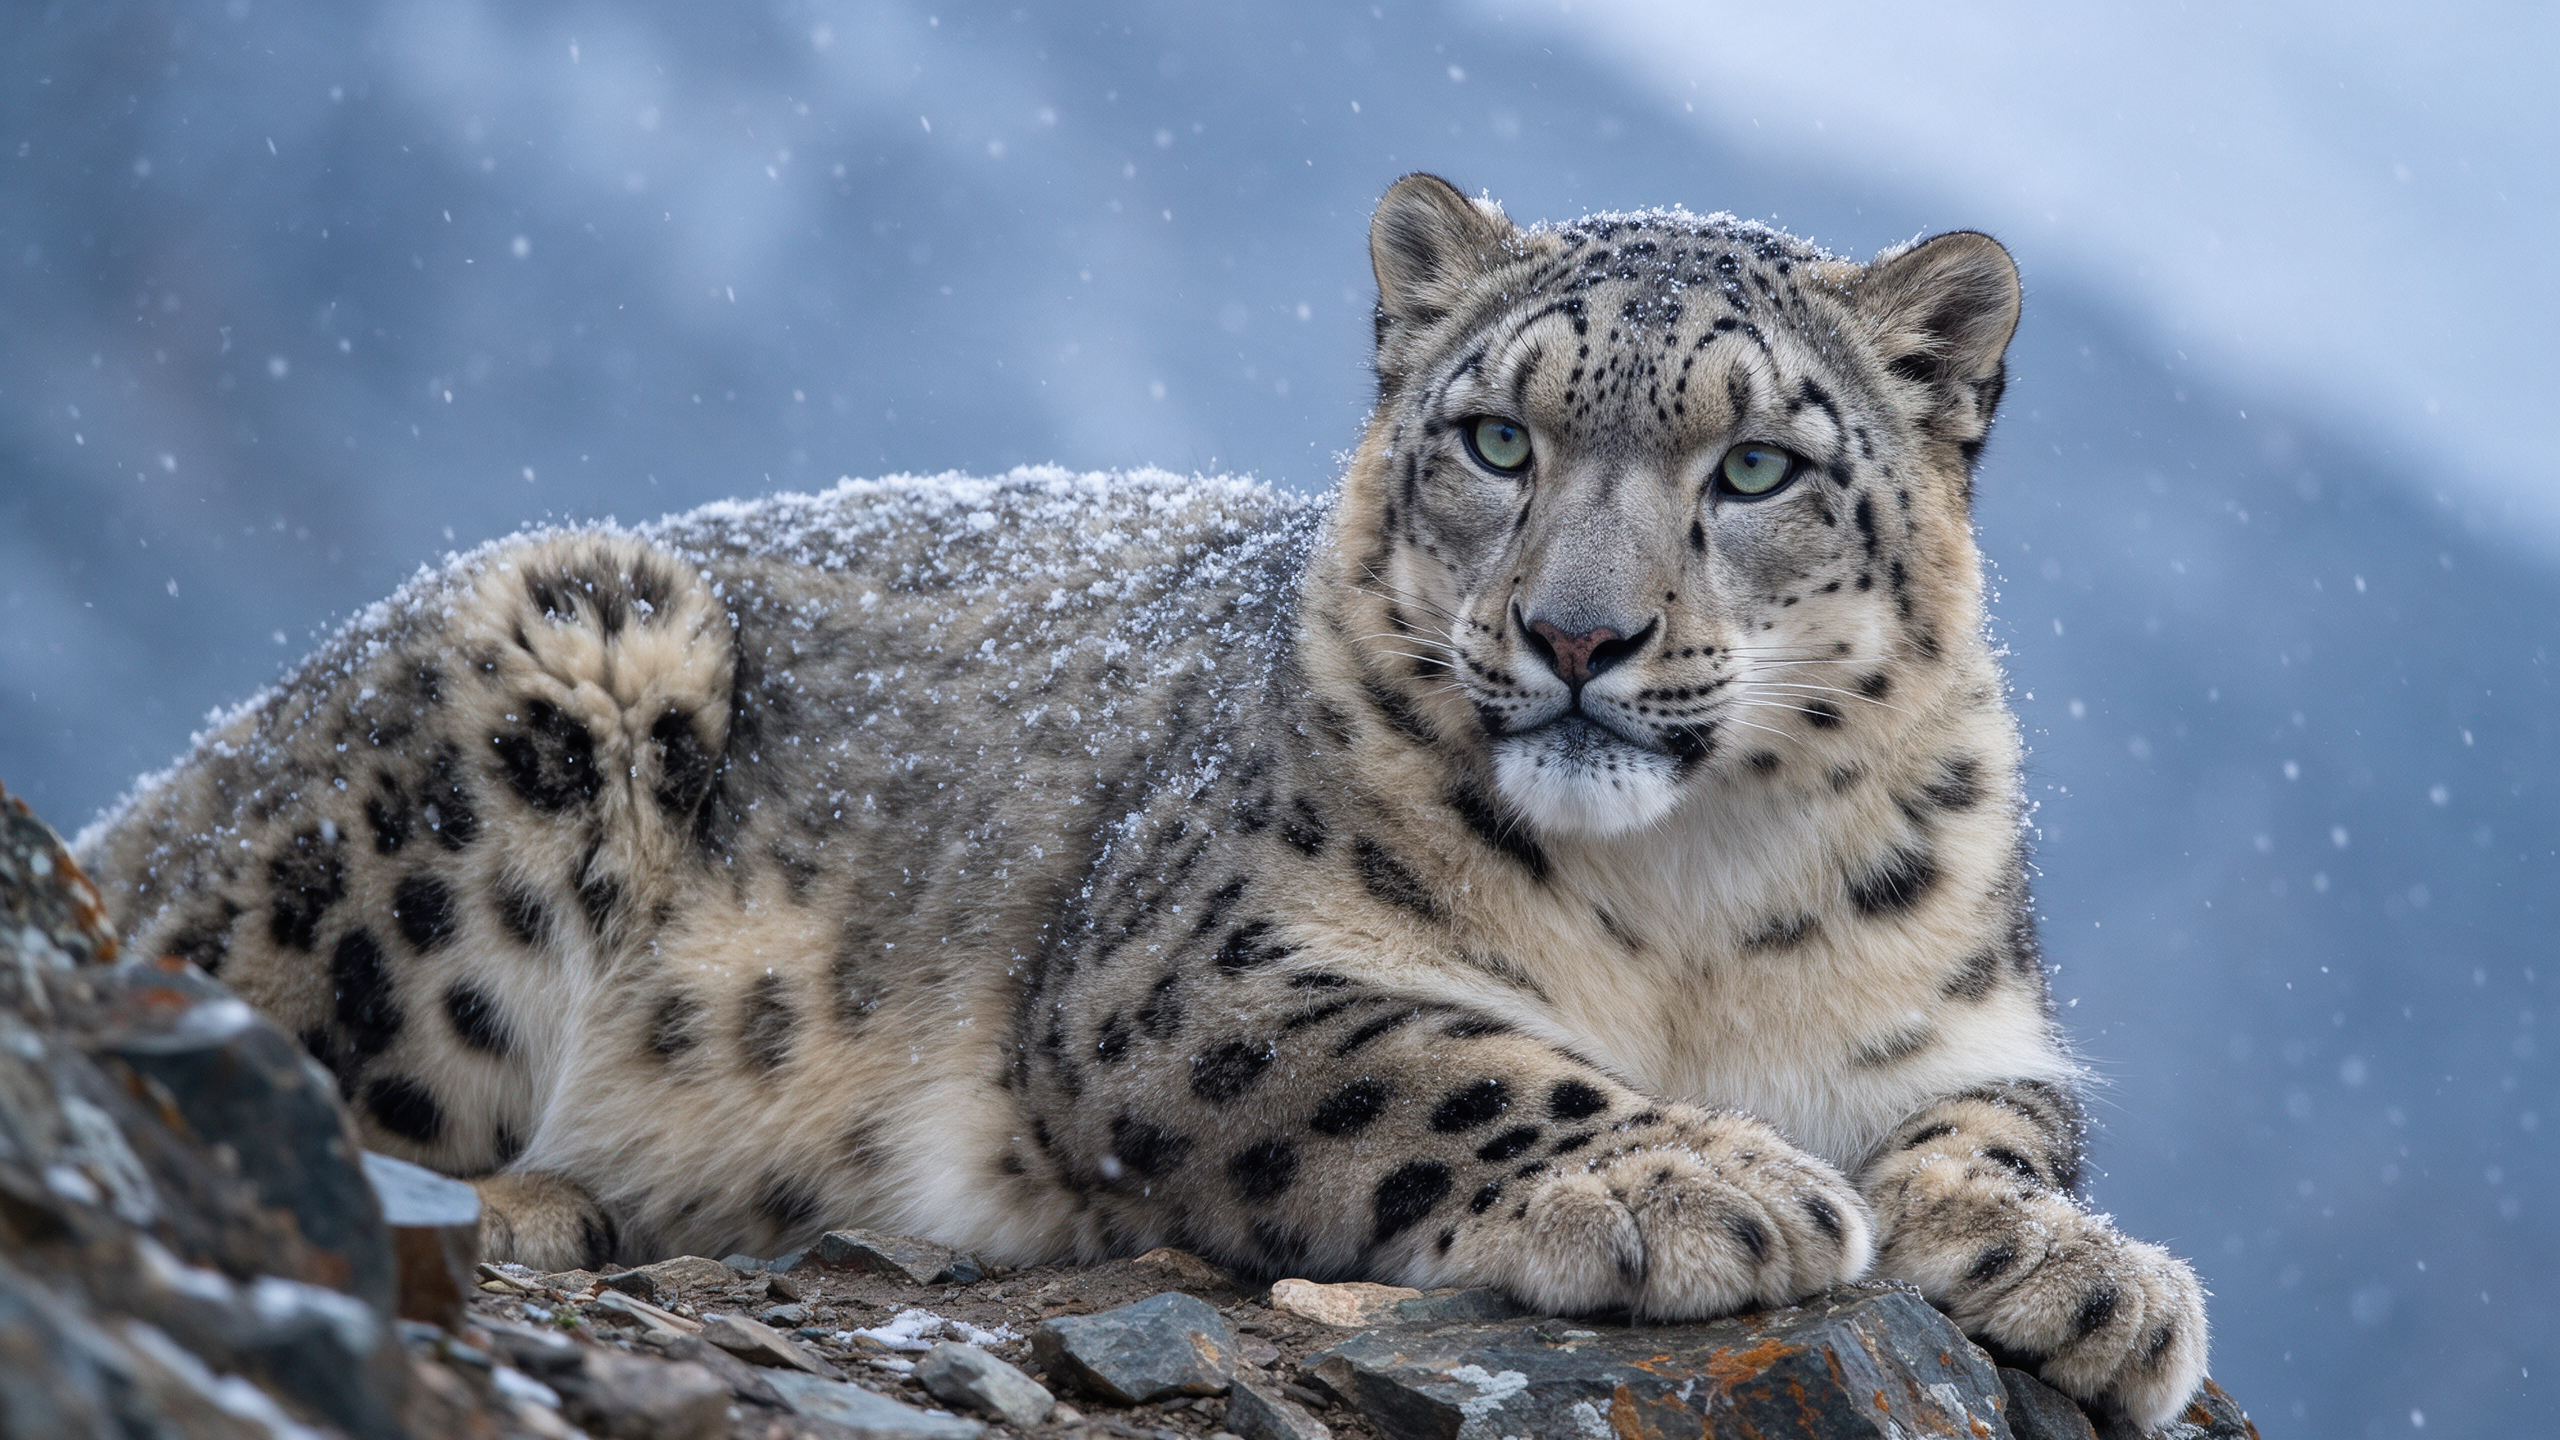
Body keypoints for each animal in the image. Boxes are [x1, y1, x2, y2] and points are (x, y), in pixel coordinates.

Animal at [78, 174, 2209, 1427]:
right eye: (1494, 438)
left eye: (1759, 468)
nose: (1577, 634)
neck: (1688, 906)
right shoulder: (1192, 974)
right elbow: (1445, 1062)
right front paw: (1692, 1179)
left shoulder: (1964, 1014)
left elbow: (2000, 1126)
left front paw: (2082, 1274)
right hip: (557, 658)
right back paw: (535, 1196)